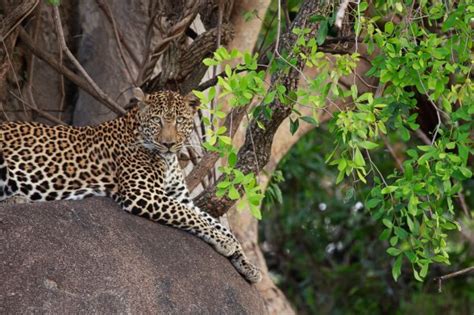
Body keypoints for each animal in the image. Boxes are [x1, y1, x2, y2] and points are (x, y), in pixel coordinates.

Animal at [0, 88, 262, 284]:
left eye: (180, 121)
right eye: (157, 120)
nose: (169, 143)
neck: (167, 159)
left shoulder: (179, 197)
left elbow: (215, 222)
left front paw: (247, 265)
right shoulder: (143, 193)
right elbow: (192, 217)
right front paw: (225, 244)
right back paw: (18, 198)